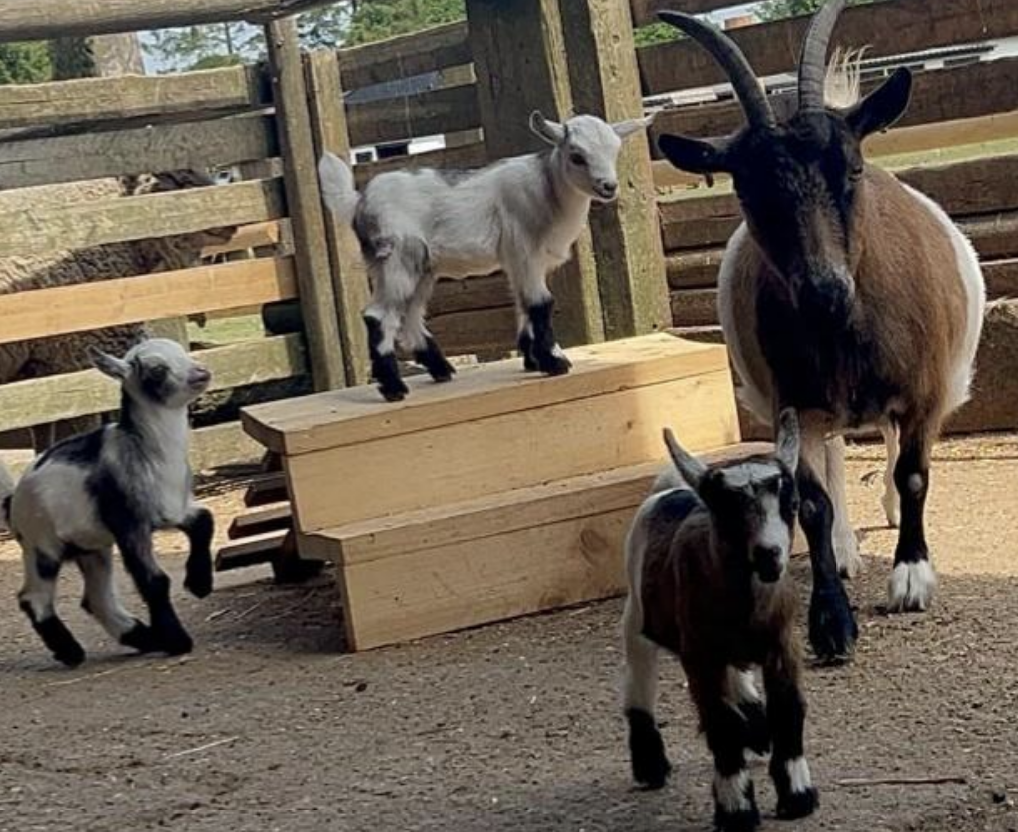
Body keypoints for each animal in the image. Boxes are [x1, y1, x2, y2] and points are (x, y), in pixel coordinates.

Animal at [3, 339, 214, 667]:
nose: (201, 373)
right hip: (42, 545)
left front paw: (200, 584)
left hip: (92, 547)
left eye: (184, 352)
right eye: (156, 370)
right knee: (34, 598)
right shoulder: (129, 524)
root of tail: (13, 499)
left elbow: (205, 520)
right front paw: (178, 641)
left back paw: (142, 637)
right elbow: (154, 580)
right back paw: (71, 652)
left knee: (96, 599)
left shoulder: (173, 510)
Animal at [318, 111, 652, 401]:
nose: (608, 187)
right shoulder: (525, 251)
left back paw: (441, 369)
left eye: (615, 151)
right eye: (577, 156)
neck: (549, 191)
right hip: (398, 258)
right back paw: (393, 388)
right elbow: (541, 304)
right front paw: (554, 362)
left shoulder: (519, 260)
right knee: (379, 316)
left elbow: (523, 304)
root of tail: (359, 202)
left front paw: (532, 359)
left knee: (410, 315)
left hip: (421, 267)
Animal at [623, 410, 816, 831]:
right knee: (637, 679)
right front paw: (736, 809)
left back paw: (756, 726)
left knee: (738, 676)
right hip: (636, 613)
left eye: (792, 504)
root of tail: (673, 490)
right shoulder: (699, 655)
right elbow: (721, 723)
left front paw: (797, 795)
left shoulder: (783, 643)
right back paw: (649, 765)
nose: (768, 555)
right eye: (726, 511)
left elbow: (788, 708)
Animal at [656, 0, 985, 662]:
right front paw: (831, 618)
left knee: (889, 444)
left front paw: (911, 577)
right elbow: (811, 502)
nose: (823, 292)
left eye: (852, 169)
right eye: (745, 187)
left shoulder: (925, 390)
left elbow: (914, 473)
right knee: (836, 452)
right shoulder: (796, 403)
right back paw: (847, 549)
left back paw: (888, 515)